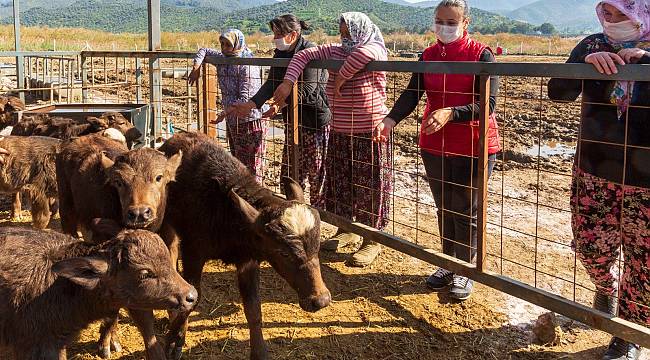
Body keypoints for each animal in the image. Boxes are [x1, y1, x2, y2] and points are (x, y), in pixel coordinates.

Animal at [158, 133, 330, 360]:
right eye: (283, 253)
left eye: (316, 247)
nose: (321, 300)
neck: (224, 212)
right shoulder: (193, 252)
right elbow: (192, 296)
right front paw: (174, 341)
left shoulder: (248, 261)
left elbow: (253, 308)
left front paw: (260, 352)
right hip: (165, 223)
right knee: (169, 252)